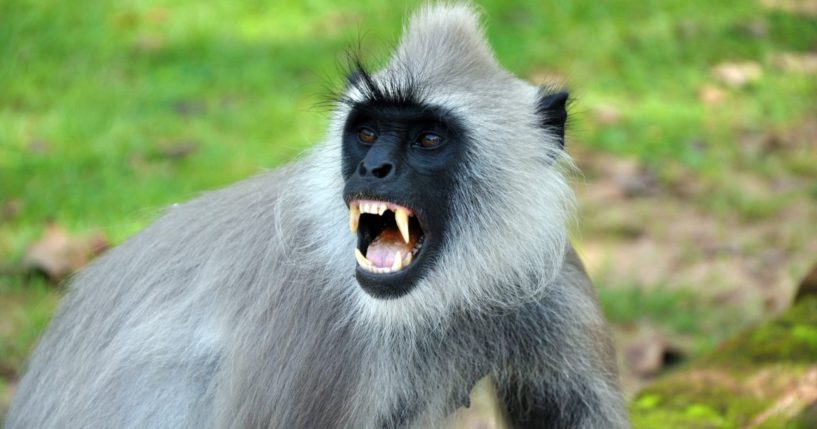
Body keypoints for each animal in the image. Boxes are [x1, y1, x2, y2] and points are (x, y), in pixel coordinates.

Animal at [6, 4, 628, 428]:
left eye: (428, 139)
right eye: (368, 132)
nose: (374, 167)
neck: (436, 298)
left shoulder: (546, 277)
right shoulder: (312, 323)